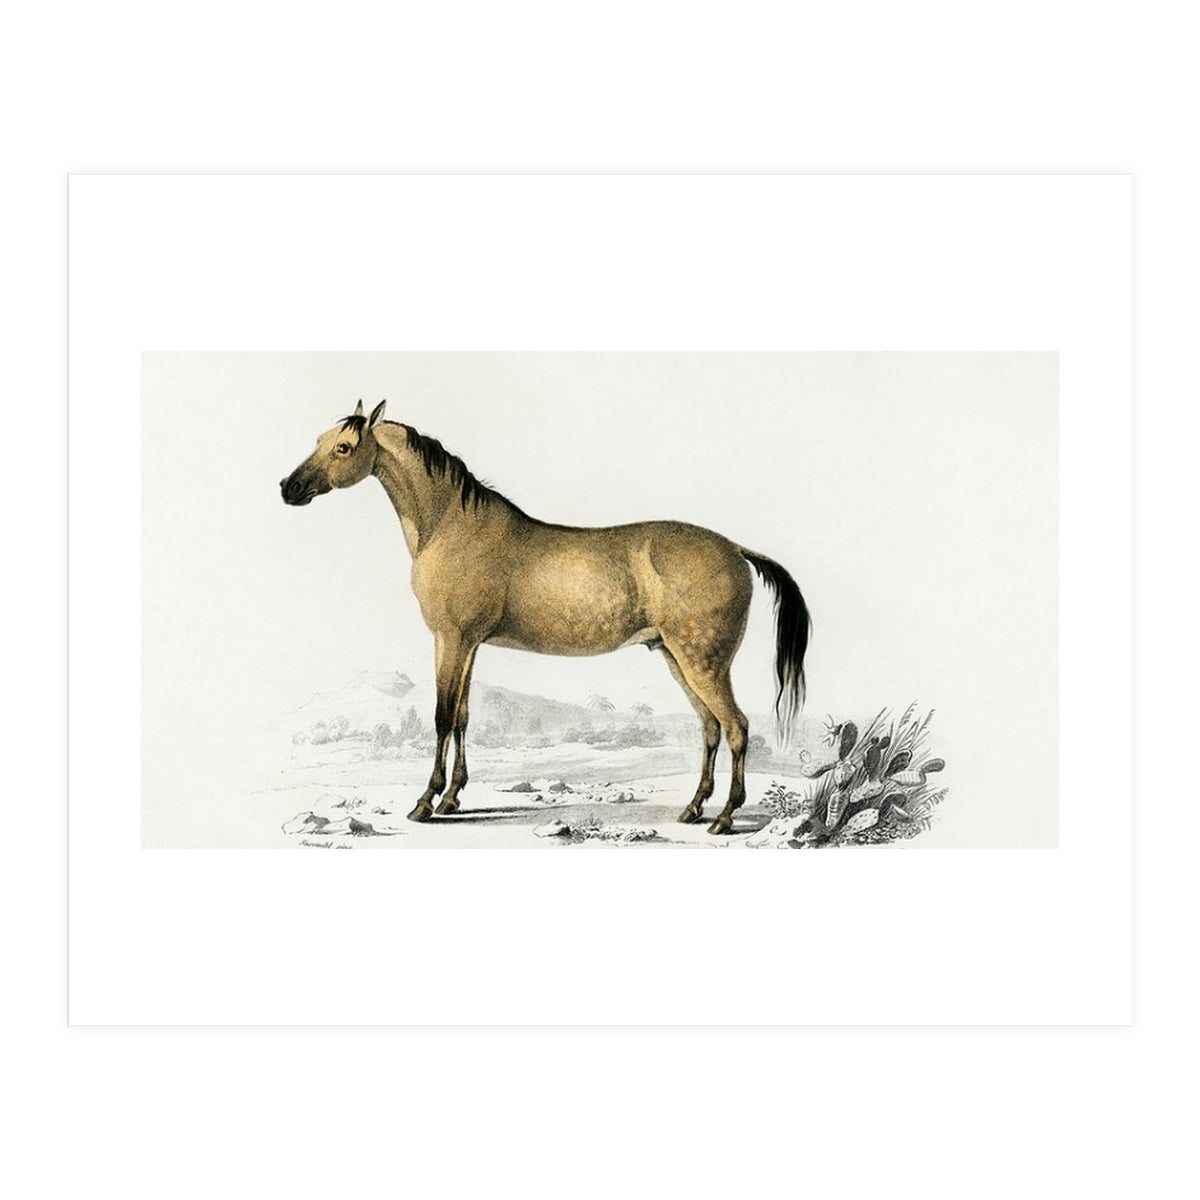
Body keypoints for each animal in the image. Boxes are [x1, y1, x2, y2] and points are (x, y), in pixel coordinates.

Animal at [280, 400, 811, 835]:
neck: (452, 525)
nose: (289, 488)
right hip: (677, 659)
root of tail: (735, 549)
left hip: (703, 662)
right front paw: (453, 798)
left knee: (737, 726)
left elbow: (441, 717)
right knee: (711, 728)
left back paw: (724, 817)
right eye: (319, 440)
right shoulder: (468, 645)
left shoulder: (450, 639)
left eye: (344, 447)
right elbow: (463, 718)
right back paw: (694, 809)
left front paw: (426, 802)